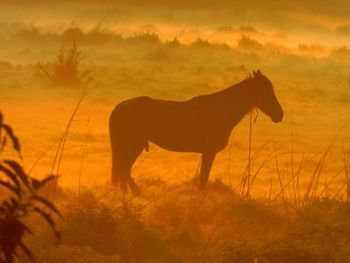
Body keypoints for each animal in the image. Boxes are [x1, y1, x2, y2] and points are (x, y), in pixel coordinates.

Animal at [109, 70, 284, 194]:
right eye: (265, 91)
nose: (279, 114)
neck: (221, 109)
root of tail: (120, 107)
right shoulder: (209, 152)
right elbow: (203, 180)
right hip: (132, 146)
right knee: (124, 170)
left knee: (123, 171)